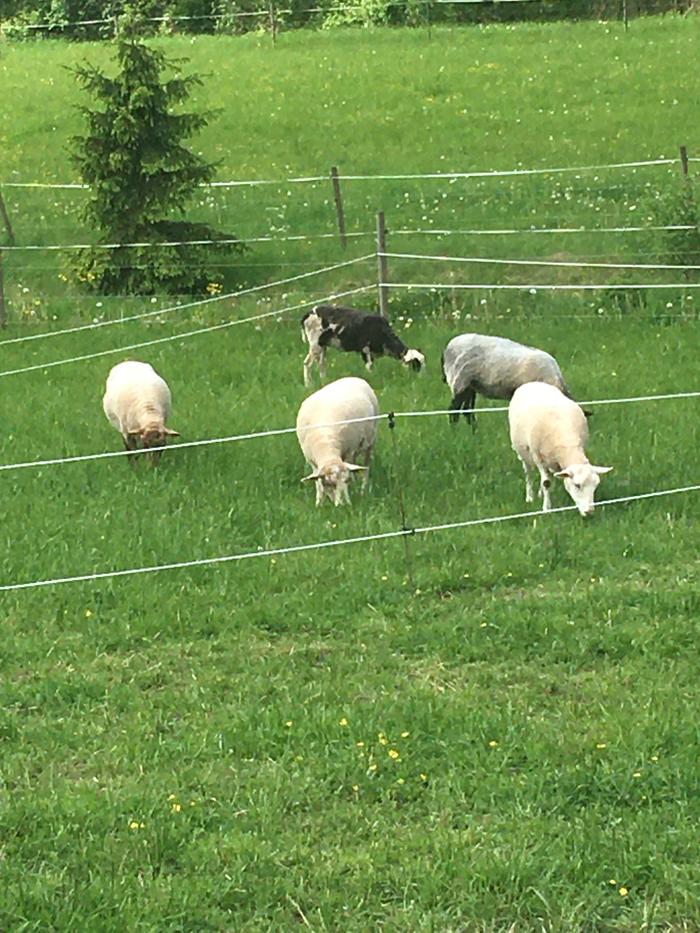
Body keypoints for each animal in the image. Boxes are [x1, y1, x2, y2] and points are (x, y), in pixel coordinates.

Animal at [296, 376, 379, 506]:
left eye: (347, 481)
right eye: (330, 483)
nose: (343, 505)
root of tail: (354, 378)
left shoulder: (348, 451)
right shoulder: (312, 461)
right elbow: (318, 483)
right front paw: (319, 503)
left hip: (371, 439)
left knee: (366, 466)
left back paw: (363, 489)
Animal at [441, 333, 570, 427]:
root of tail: (448, 347)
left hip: (471, 386)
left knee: (466, 411)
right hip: (459, 381)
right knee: (453, 410)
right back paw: (455, 432)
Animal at [508, 381, 612, 516]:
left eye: (595, 486)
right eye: (577, 485)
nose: (589, 512)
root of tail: (532, 383)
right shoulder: (538, 458)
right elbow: (546, 483)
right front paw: (547, 508)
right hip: (523, 452)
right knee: (528, 473)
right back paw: (530, 497)